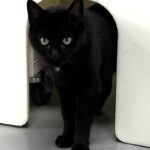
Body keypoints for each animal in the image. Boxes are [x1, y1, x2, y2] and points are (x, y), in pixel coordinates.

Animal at [27, 0, 118, 149]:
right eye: (44, 41)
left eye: (67, 40)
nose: (55, 55)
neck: (69, 66)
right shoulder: (64, 89)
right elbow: (67, 114)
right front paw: (66, 138)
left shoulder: (89, 87)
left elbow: (83, 117)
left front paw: (80, 144)